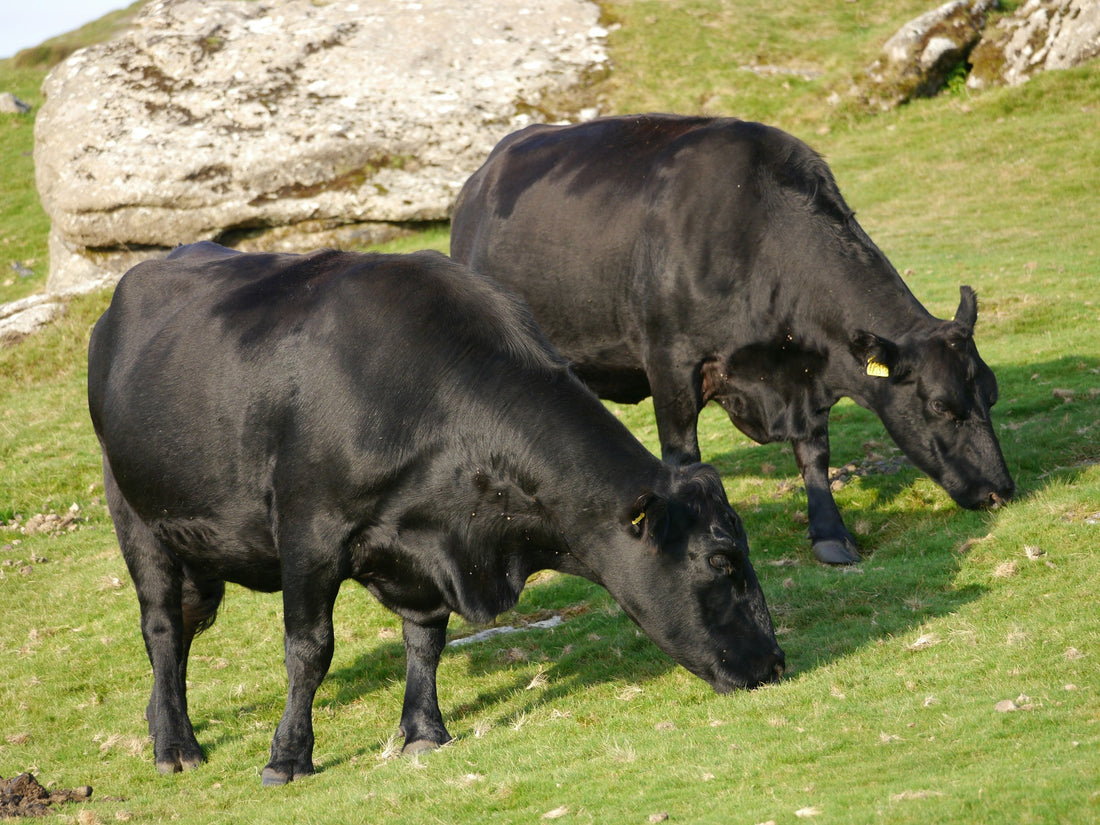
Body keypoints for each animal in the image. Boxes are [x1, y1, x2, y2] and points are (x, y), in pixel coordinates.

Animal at [87, 242, 784, 785]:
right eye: (721, 560)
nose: (776, 666)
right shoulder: (309, 530)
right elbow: (309, 649)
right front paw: (288, 758)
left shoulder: (428, 552)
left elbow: (426, 639)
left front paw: (425, 731)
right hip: (135, 517)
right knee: (162, 628)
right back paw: (175, 746)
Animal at [451, 114, 1015, 565]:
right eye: (940, 406)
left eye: (990, 393)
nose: (1001, 492)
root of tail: (481, 178)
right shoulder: (671, 362)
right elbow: (683, 457)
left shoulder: (805, 372)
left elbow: (814, 453)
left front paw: (831, 536)